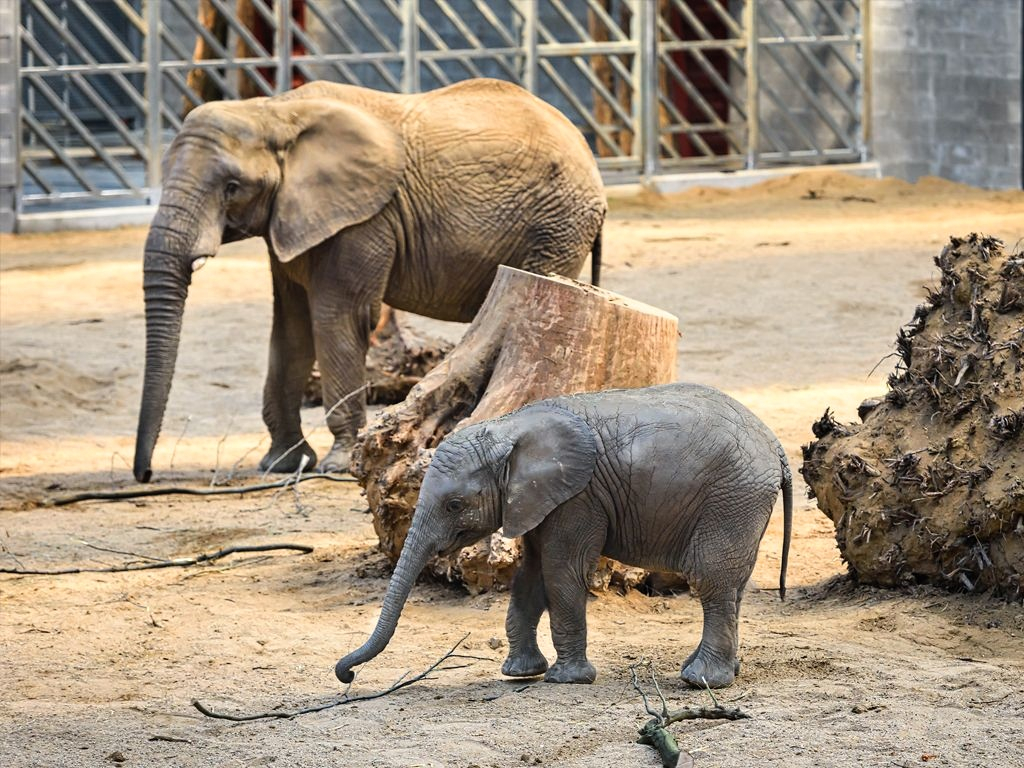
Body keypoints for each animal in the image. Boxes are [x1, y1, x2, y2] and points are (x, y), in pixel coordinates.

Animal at [132, 79, 602, 487]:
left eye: (232, 187)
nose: (146, 474)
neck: (273, 111)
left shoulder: (363, 220)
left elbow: (338, 318)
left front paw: (336, 465)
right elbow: (291, 328)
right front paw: (282, 465)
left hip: (556, 227)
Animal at [335, 385, 790, 692]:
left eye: (454, 504)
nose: (347, 673)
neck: (510, 427)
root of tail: (776, 445)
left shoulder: (578, 497)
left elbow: (560, 573)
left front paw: (565, 679)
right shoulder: (540, 500)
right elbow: (530, 577)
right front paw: (520, 673)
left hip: (731, 497)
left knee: (712, 581)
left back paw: (700, 681)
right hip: (740, 503)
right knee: (734, 585)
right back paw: (717, 672)